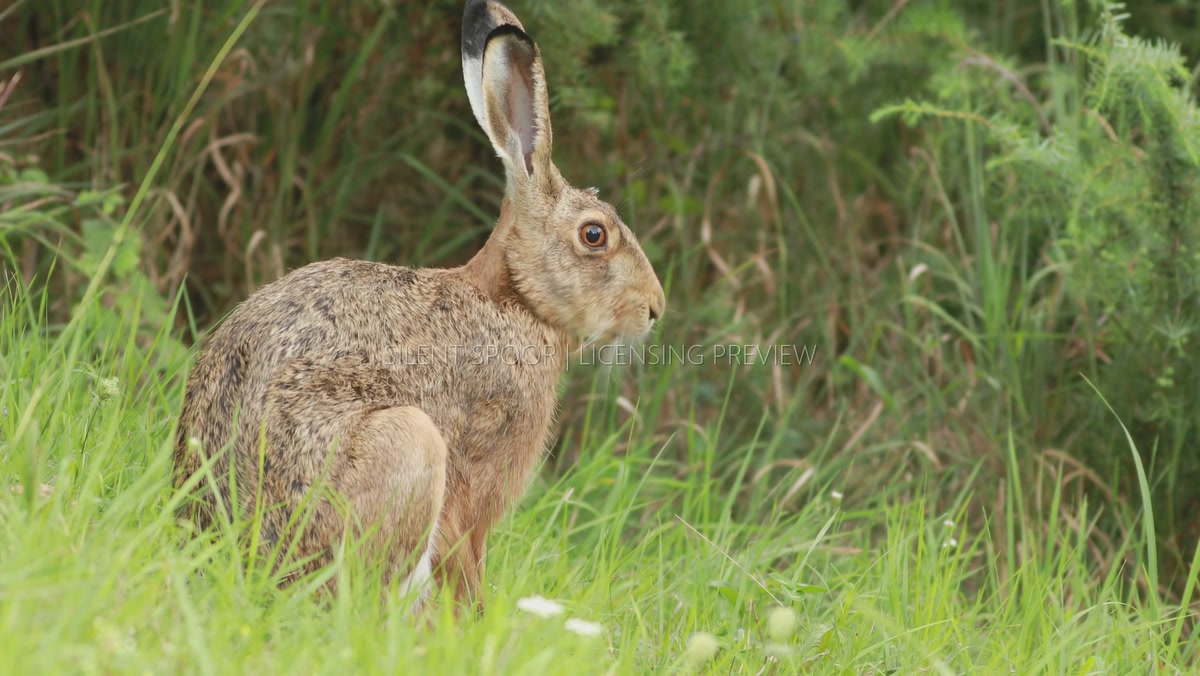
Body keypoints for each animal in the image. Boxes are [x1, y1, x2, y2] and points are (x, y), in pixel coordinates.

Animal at [172, 0, 666, 614]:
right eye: (594, 235)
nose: (655, 307)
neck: (515, 301)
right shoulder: (477, 474)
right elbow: (468, 552)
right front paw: (479, 621)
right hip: (407, 442)